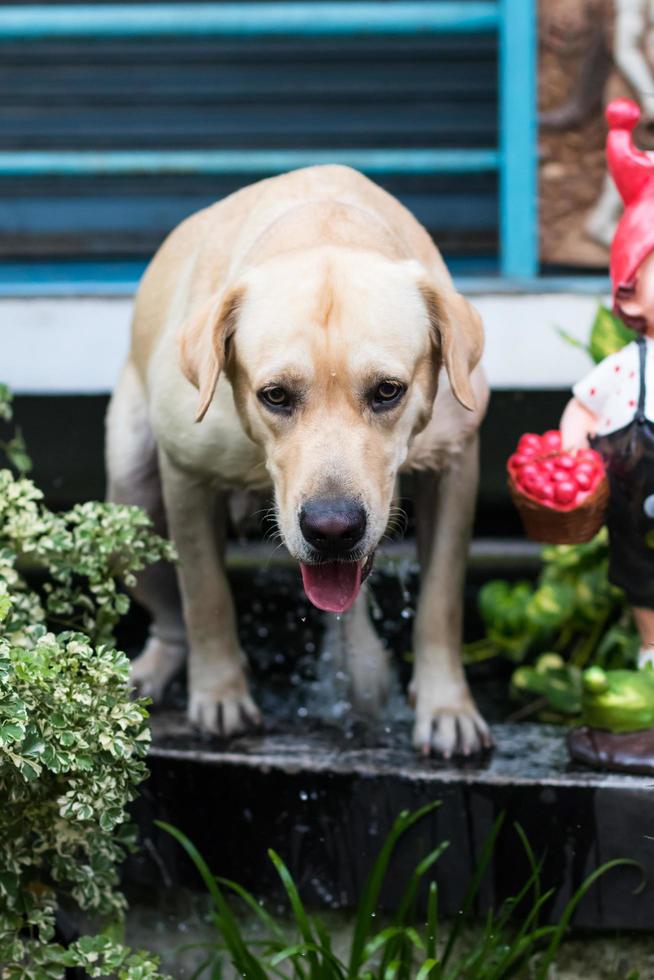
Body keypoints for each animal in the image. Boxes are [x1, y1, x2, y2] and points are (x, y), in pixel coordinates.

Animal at [109, 165, 492, 756]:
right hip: (130, 498)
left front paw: (446, 707)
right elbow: (205, 595)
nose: (332, 528)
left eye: (388, 390)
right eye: (275, 396)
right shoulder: (186, 477)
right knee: (172, 619)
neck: (323, 230)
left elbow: (440, 603)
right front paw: (220, 694)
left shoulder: (455, 464)